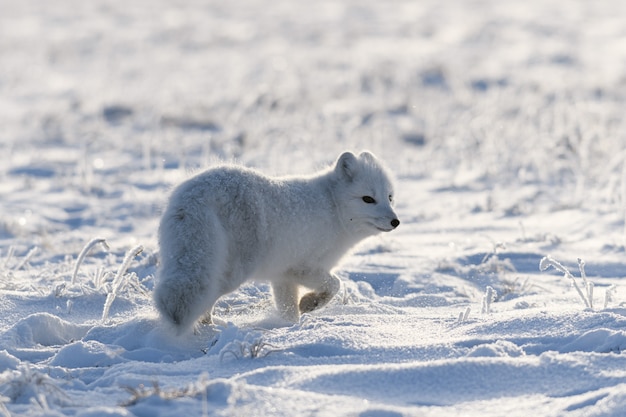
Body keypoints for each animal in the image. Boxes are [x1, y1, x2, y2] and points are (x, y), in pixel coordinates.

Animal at [153, 151, 398, 334]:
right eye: (368, 199)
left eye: (389, 197)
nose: (395, 222)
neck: (333, 207)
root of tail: (196, 194)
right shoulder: (302, 268)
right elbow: (335, 284)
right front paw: (309, 304)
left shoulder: (283, 276)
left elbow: (289, 310)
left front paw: (290, 329)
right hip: (233, 272)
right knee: (206, 300)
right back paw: (207, 332)